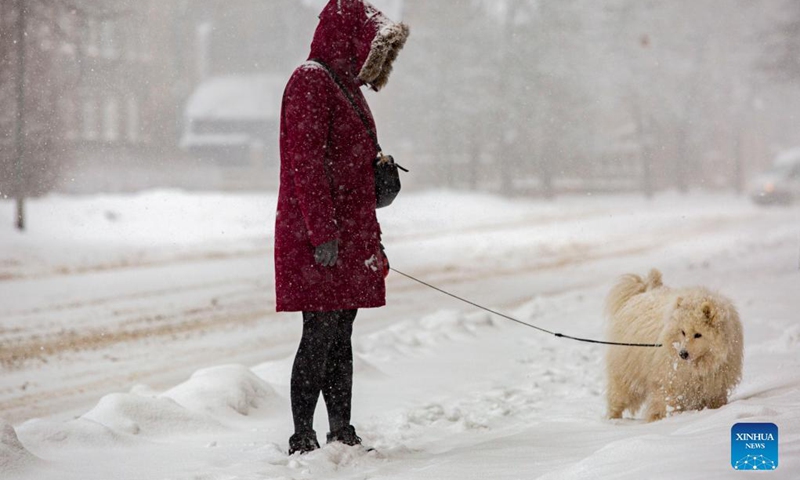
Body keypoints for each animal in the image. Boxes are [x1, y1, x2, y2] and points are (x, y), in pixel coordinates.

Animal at [608, 268, 744, 422]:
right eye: (683, 332)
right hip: (626, 374)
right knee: (617, 399)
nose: (682, 354)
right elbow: (665, 403)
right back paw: (613, 420)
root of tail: (642, 292)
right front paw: (660, 419)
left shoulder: (714, 385)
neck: (699, 367)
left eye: (698, 334)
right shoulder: (669, 382)